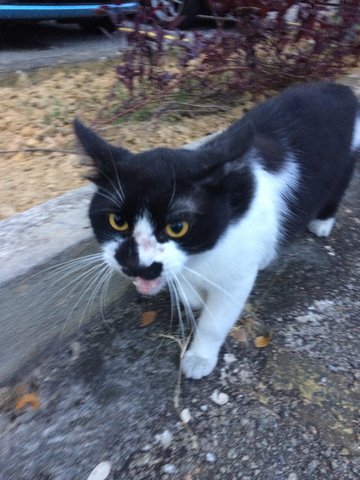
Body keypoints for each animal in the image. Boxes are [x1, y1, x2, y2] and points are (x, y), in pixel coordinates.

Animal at [74, 83, 360, 382]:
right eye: (117, 221)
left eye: (178, 227)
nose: (135, 265)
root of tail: (339, 88)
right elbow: (186, 287)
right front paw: (194, 297)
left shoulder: (235, 276)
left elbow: (216, 319)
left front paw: (199, 357)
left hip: (347, 157)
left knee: (337, 187)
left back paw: (322, 222)